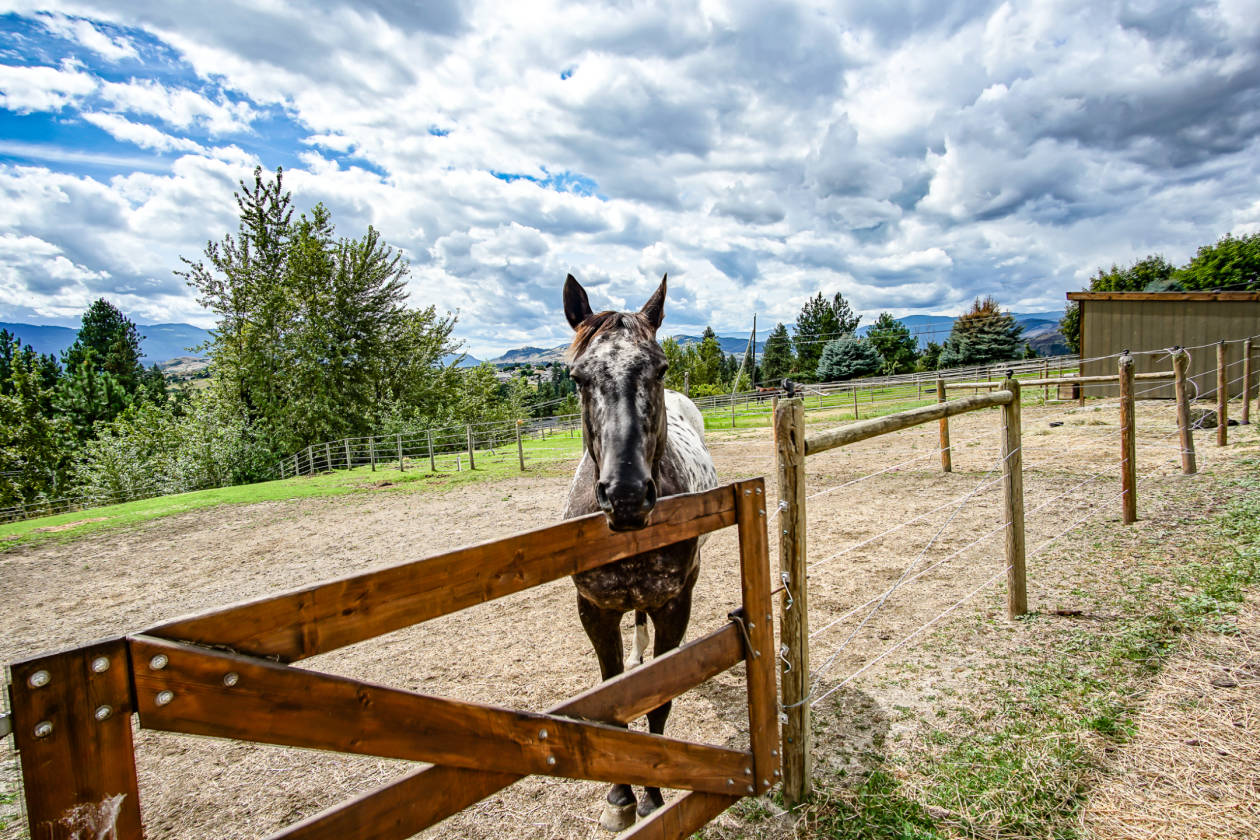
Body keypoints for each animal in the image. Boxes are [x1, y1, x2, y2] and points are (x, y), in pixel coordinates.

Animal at [561, 272, 719, 831]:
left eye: (660, 367)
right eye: (578, 377)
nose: (626, 494)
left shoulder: (675, 603)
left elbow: (659, 699)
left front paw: (652, 793)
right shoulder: (594, 610)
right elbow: (613, 700)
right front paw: (619, 796)